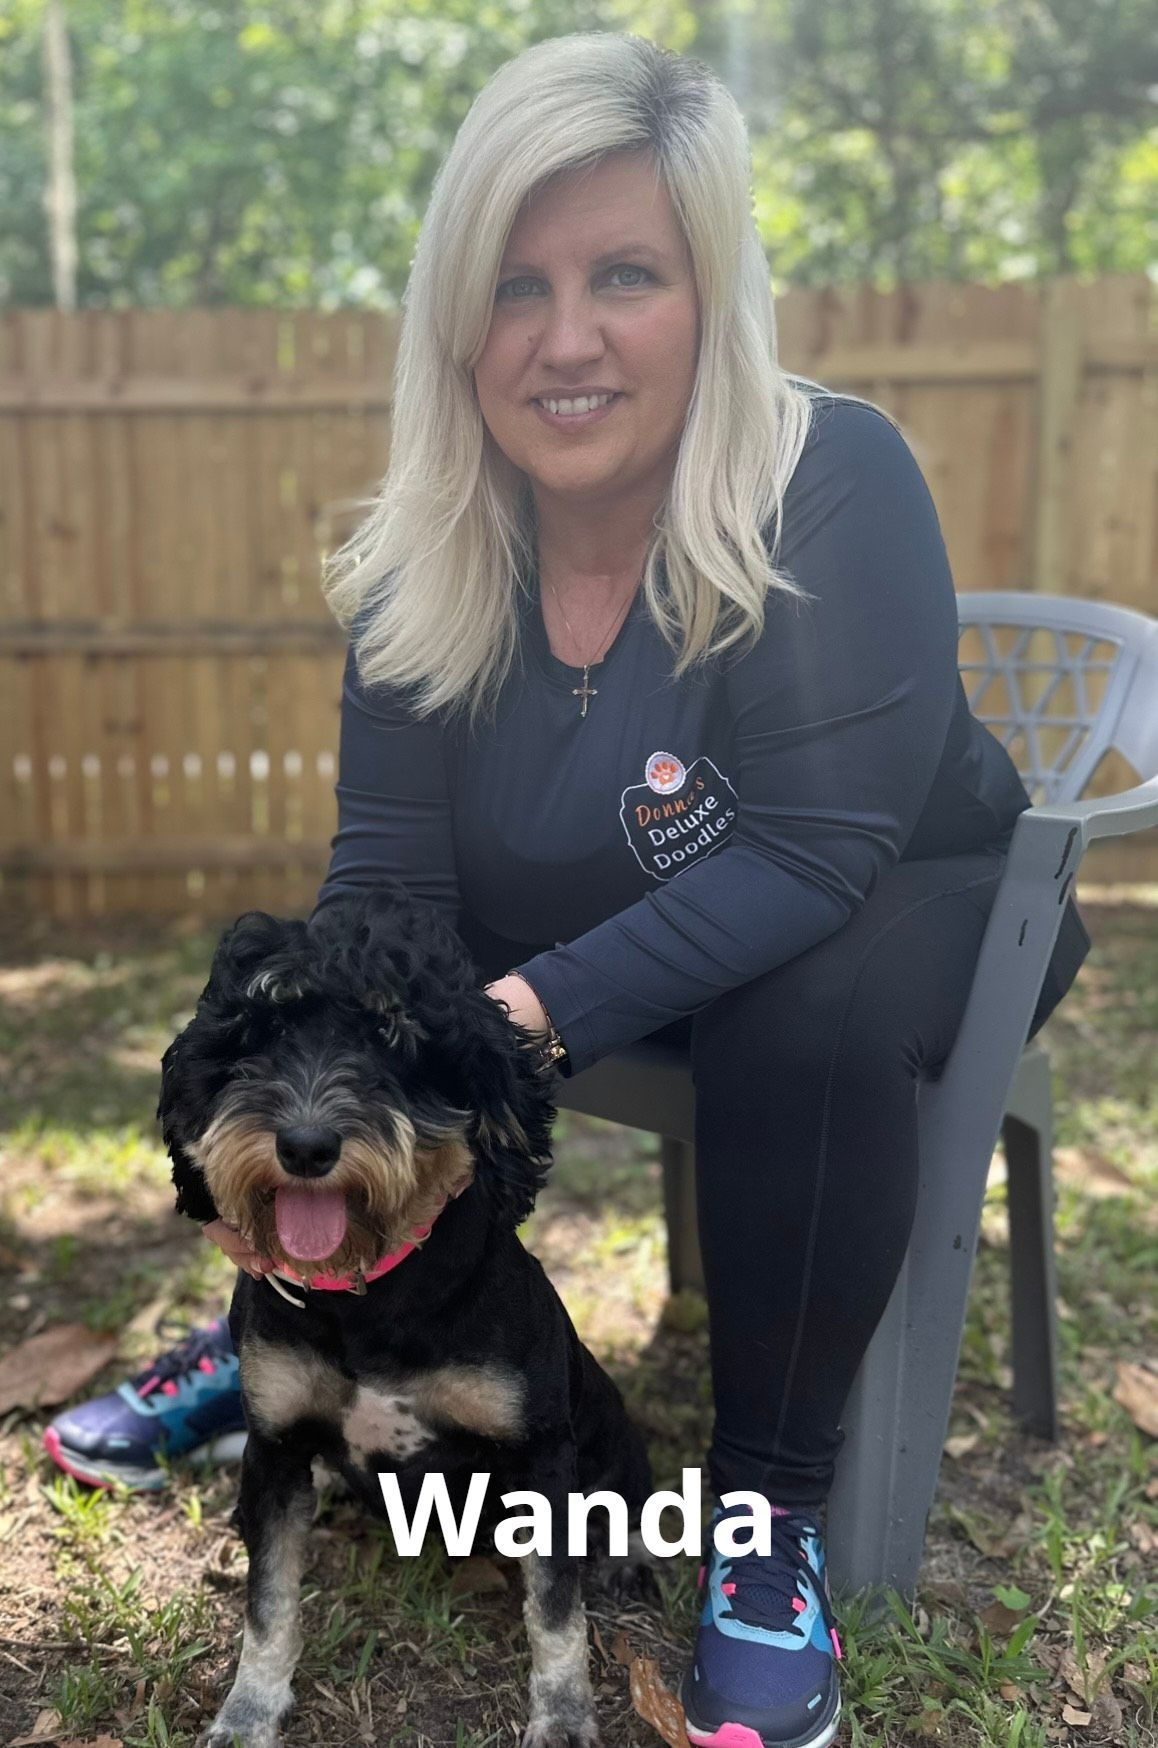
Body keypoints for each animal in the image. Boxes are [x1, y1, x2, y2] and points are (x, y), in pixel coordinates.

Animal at [159, 887, 657, 1748]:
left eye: (392, 1038)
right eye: (259, 1035)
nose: (306, 1146)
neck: (368, 1296)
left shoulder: (542, 1456)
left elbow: (555, 1612)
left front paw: (562, 1717)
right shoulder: (276, 1450)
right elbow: (269, 1604)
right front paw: (248, 1711)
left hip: (606, 1429)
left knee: (622, 1499)